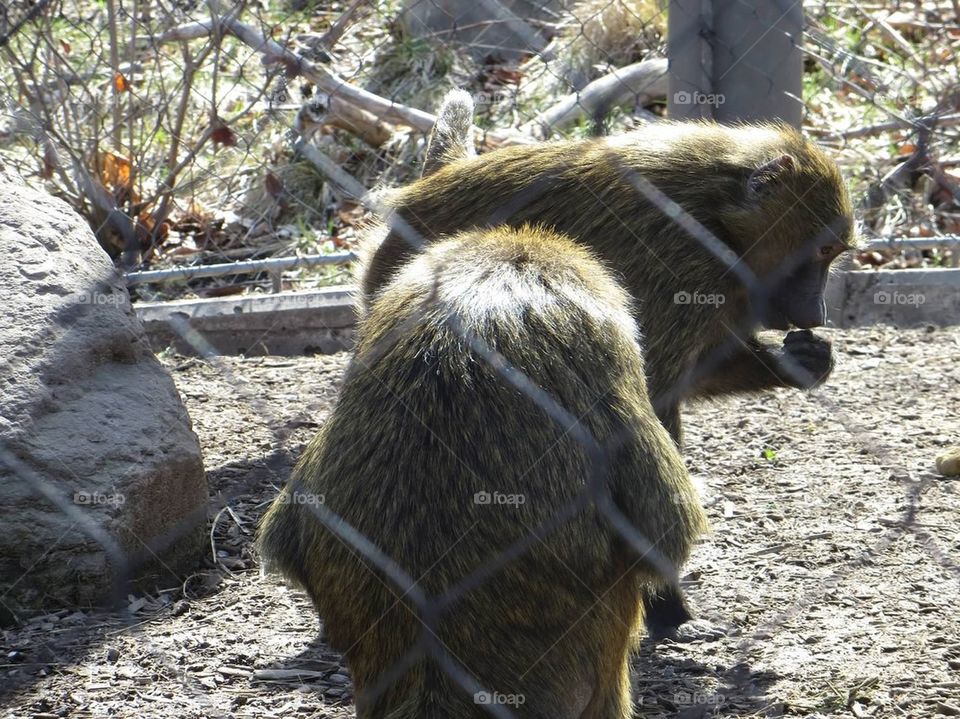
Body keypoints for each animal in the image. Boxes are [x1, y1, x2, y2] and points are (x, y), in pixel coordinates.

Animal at [359, 116, 856, 638]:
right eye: (823, 249)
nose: (818, 312)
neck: (719, 209)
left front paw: (806, 360)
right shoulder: (684, 267)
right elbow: (651, 403)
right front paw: (669, 609)